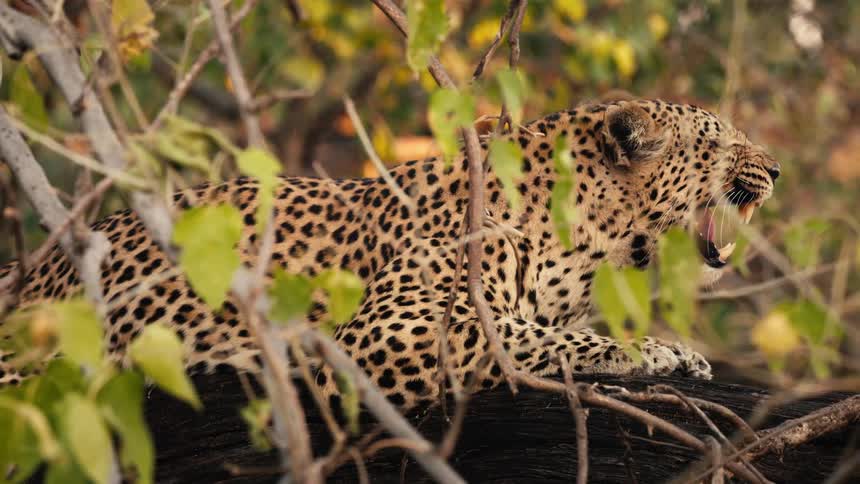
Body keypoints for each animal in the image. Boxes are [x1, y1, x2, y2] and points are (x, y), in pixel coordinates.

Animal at [0, 99, 780, 411]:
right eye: (721, 140)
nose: (773, 168)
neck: (591, 251)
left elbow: (550, 331)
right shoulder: (392, 329)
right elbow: (542, 340)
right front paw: (661, 351)